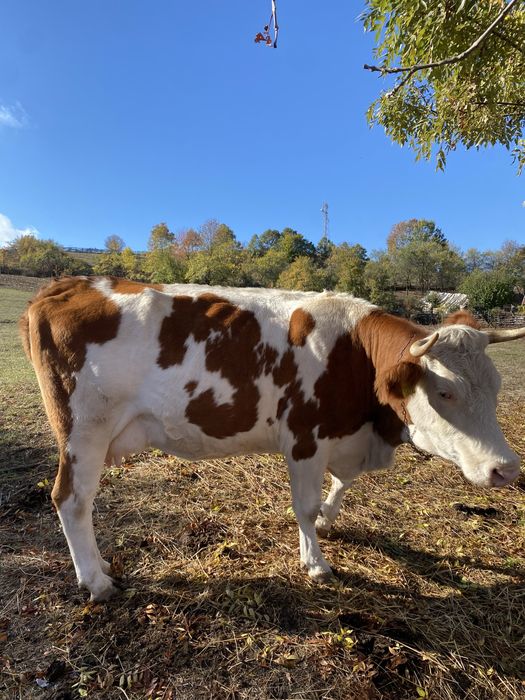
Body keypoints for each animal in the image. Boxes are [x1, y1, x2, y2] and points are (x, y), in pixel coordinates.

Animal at [20, 276, 525, 601]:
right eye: (445, 392)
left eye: (497, 386)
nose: (506, 468)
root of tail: (65, 285)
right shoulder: (305, 437)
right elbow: (304, 505)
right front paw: (316, 562)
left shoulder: (340, 439)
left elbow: (339, 486)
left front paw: (327, 522)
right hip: (84, 430)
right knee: (71, 499)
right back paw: (96, 581)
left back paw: (101, 566)